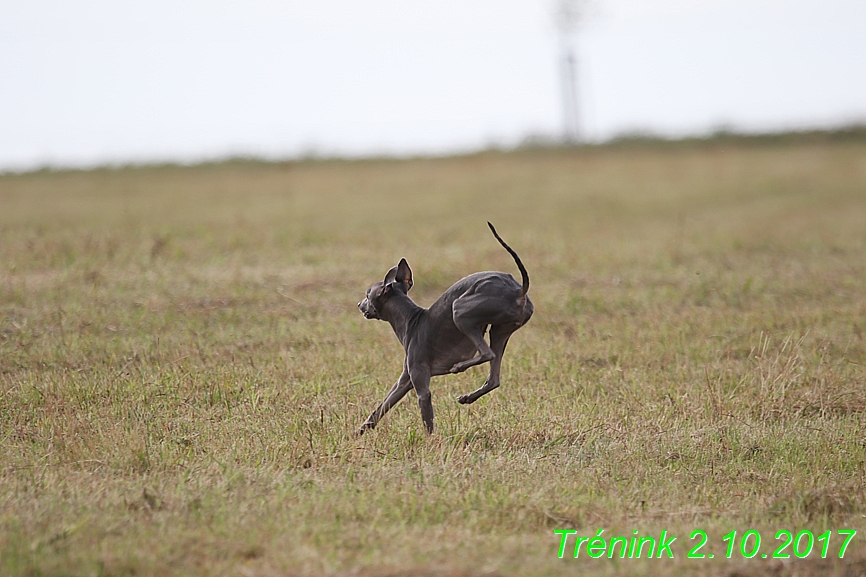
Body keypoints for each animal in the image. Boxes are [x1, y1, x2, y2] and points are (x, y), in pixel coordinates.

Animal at [354, 223, 528, 434]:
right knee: (494, 377)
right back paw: (467, 397)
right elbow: (380, 409)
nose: (358, 304)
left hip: (459, 311)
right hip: (499, 330)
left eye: (367, 294)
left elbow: (428, 422)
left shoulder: (421, 386)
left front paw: (431, 441)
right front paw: (358, 433)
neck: (411, 320)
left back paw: (459, 367)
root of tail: (518, 290)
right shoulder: (404, 381)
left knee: (487, 353)